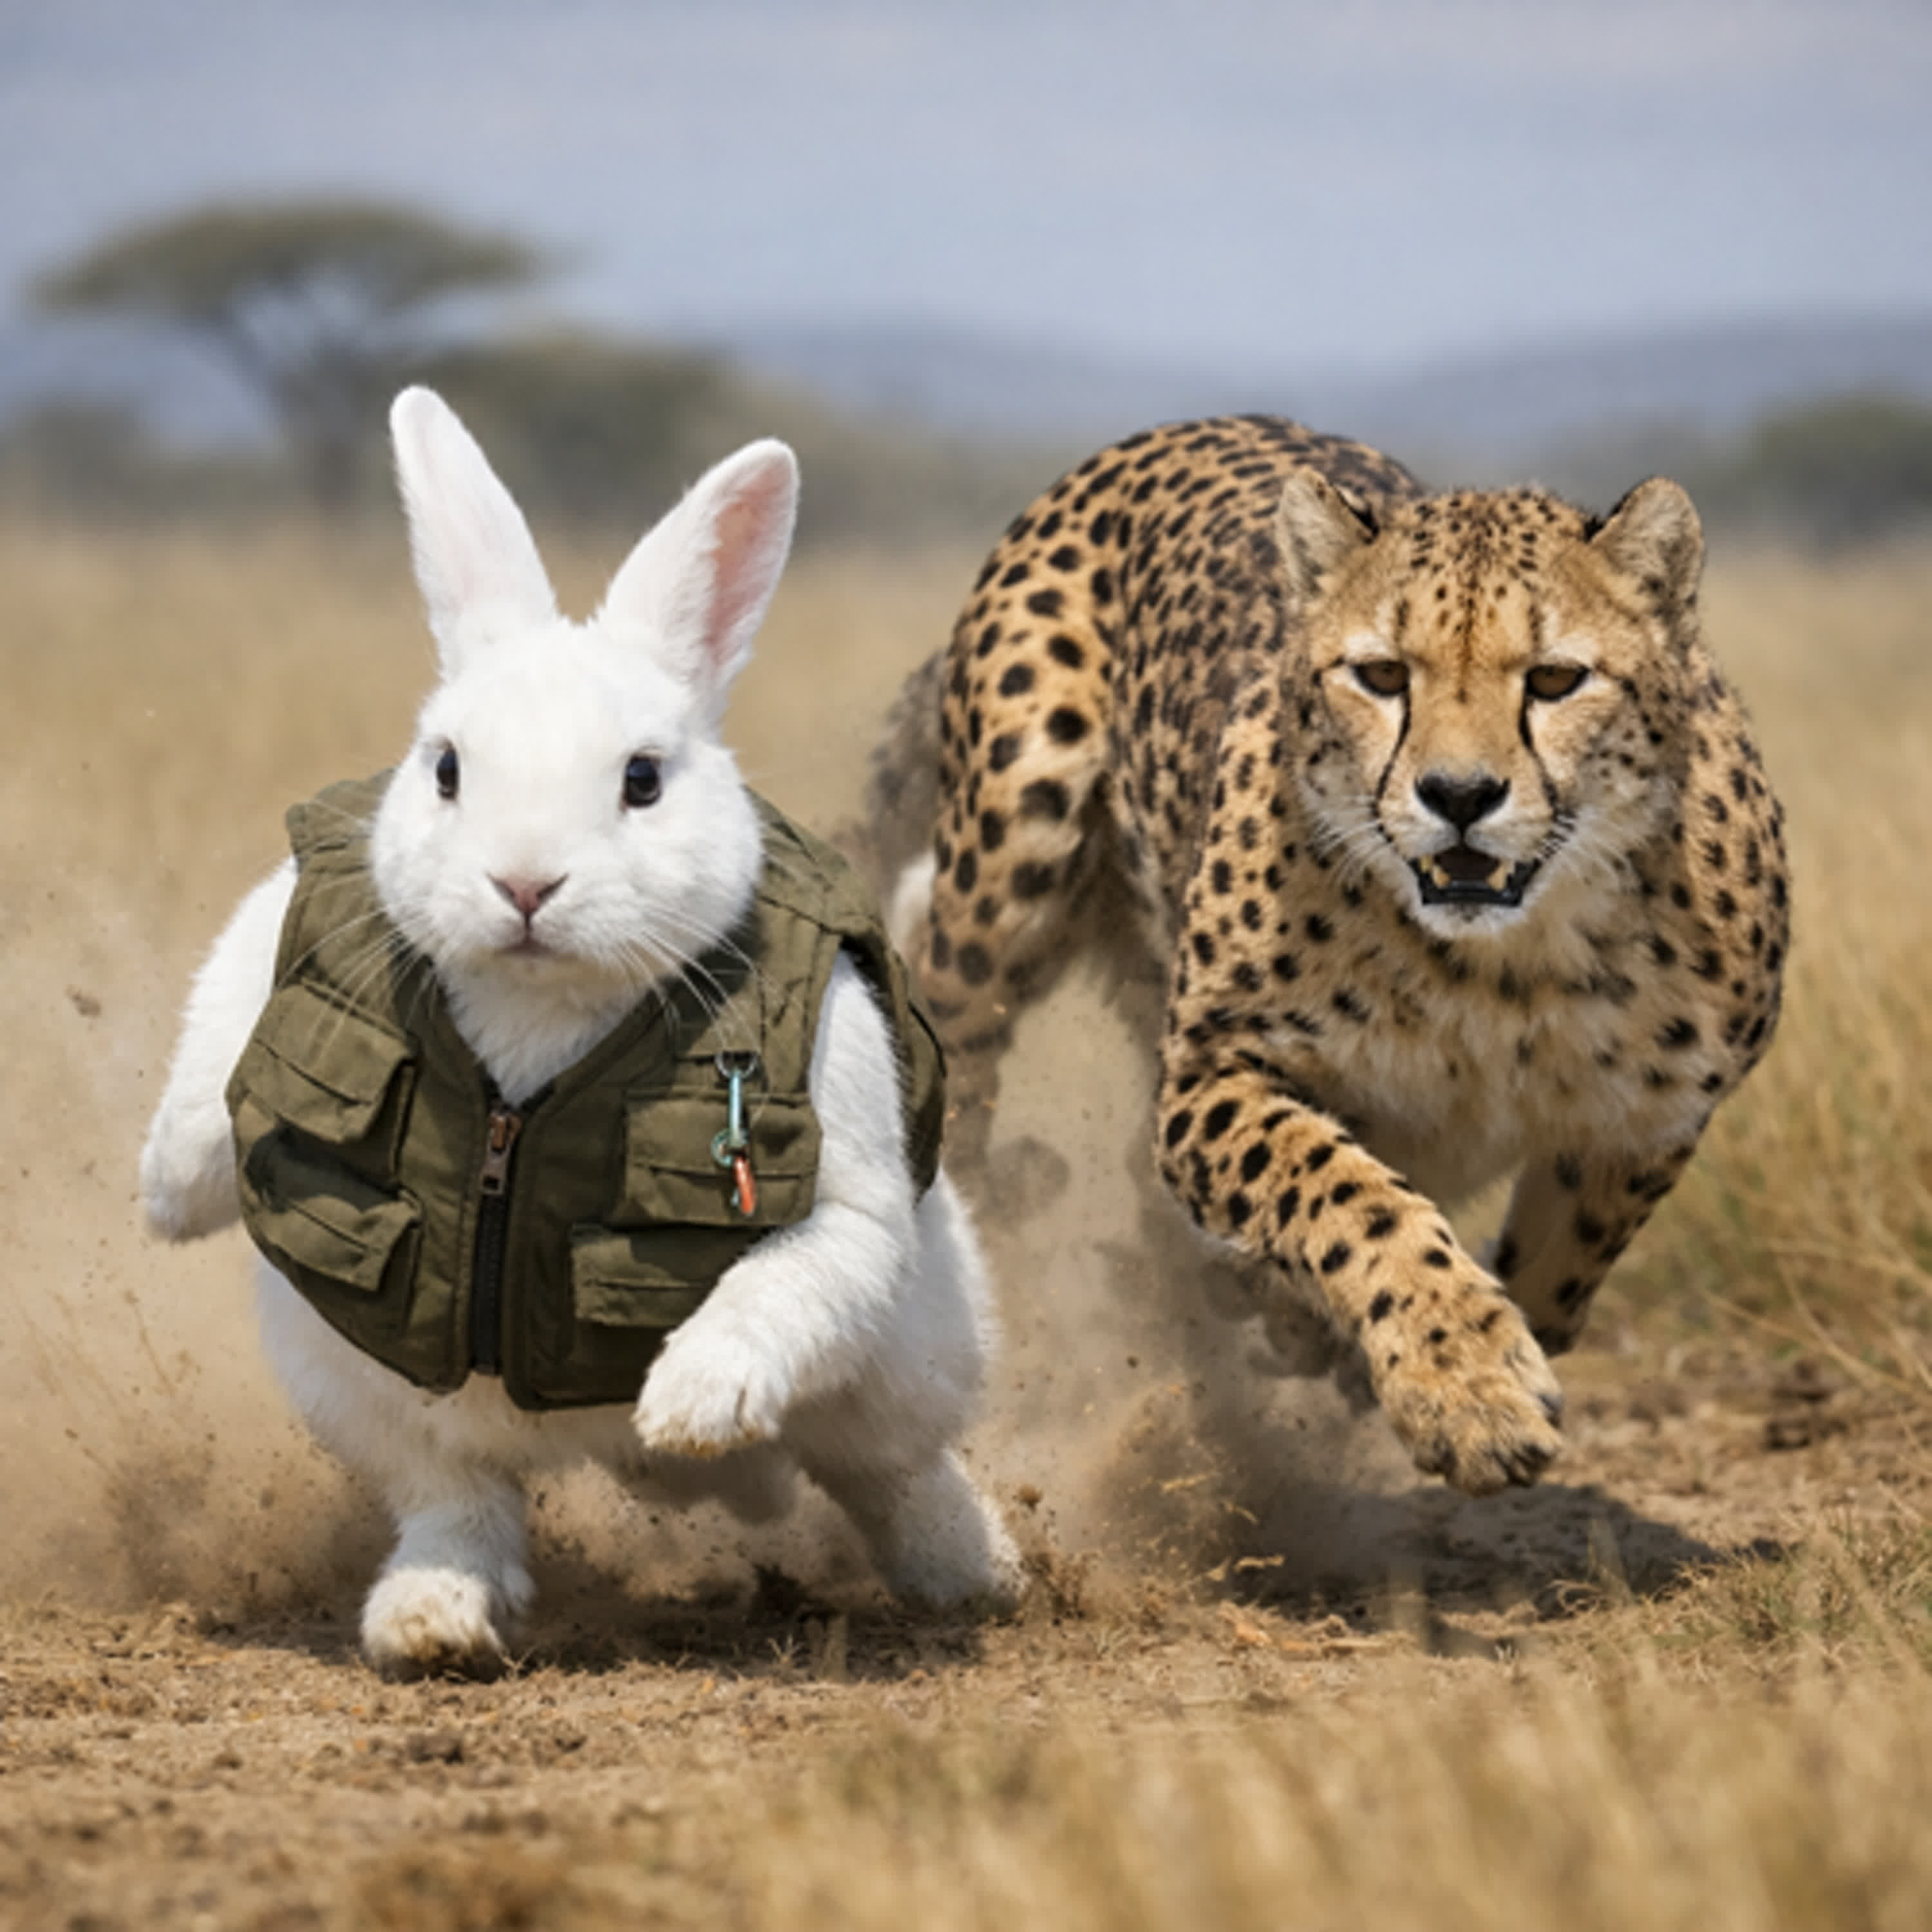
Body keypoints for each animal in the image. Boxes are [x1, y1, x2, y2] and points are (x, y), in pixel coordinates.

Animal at [864, 414, 1788, 1498]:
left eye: (1557, 679)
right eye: (1381, 675)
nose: (1460, 795)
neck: (1507, 965)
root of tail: (1190, 424)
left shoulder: (1653, 1118)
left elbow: (1560, 1272)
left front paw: (1403, 1350)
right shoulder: (1214, 1070)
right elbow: (1347, 1195)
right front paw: (1461, 1384)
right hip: (1010, 855)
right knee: (950, 1042)